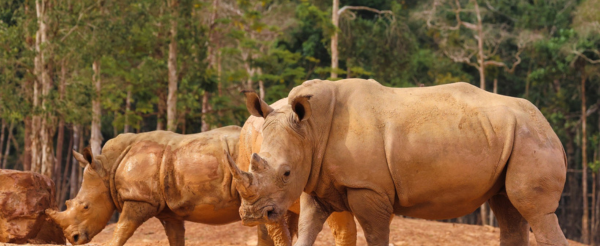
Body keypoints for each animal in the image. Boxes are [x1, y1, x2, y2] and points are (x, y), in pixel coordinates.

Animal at [47, 126, 292, 246]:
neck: (106, 168)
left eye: (85, 207)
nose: (73, 238)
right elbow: (175, 238)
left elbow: (120, 232)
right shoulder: (170, 212)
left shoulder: (139, 199)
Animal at [225, 79, 568, 246]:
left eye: (285, 172)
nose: (252, 214)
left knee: (534, 211)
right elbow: (308, 230)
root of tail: (550, 126)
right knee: (509, 208)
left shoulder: (368, 188)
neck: (311, 129)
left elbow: (376, 236)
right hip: (515, 136)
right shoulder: (314, 179)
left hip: (531, 139)